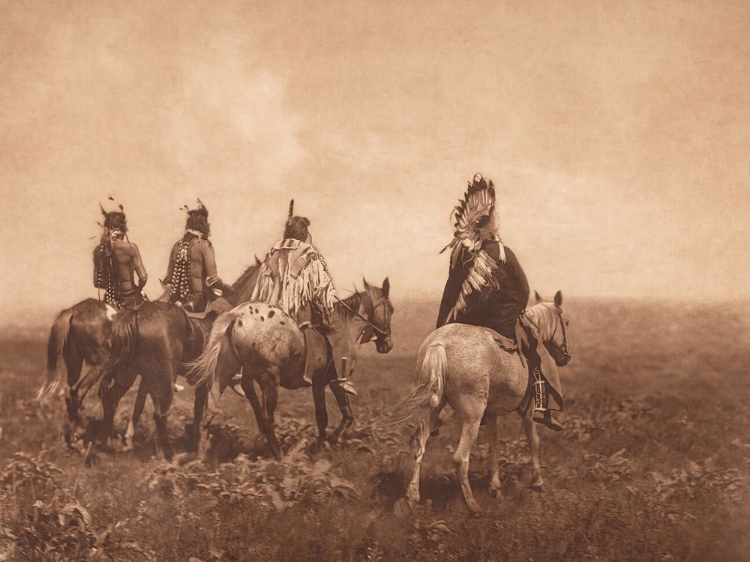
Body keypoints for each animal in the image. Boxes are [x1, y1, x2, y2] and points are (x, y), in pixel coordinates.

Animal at [187, 278, 396, 458]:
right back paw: (279, 456)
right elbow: (347, 416)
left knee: (209, 413)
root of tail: (235, 316)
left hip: (222, 375)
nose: (388, 345)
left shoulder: (318, 383)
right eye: (391, 309)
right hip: (269, 381)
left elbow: (322, 417)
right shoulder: (335, 382)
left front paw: (318, 447)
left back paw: (199, 458)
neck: (345, 325)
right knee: (267, 420)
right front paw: (327, 442)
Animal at [406, 290, 568, 516]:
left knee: (419, 446)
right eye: (566, 323)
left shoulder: (491, 414)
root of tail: (439, 345)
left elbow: (493, 444)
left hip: (430, 409)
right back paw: (473, 506)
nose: (564, 357)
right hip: (472, 417)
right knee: (460, 458)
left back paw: (412, 498)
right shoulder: (528, 410)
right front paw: (538, 482)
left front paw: (495, 487)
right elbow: (533, 440)